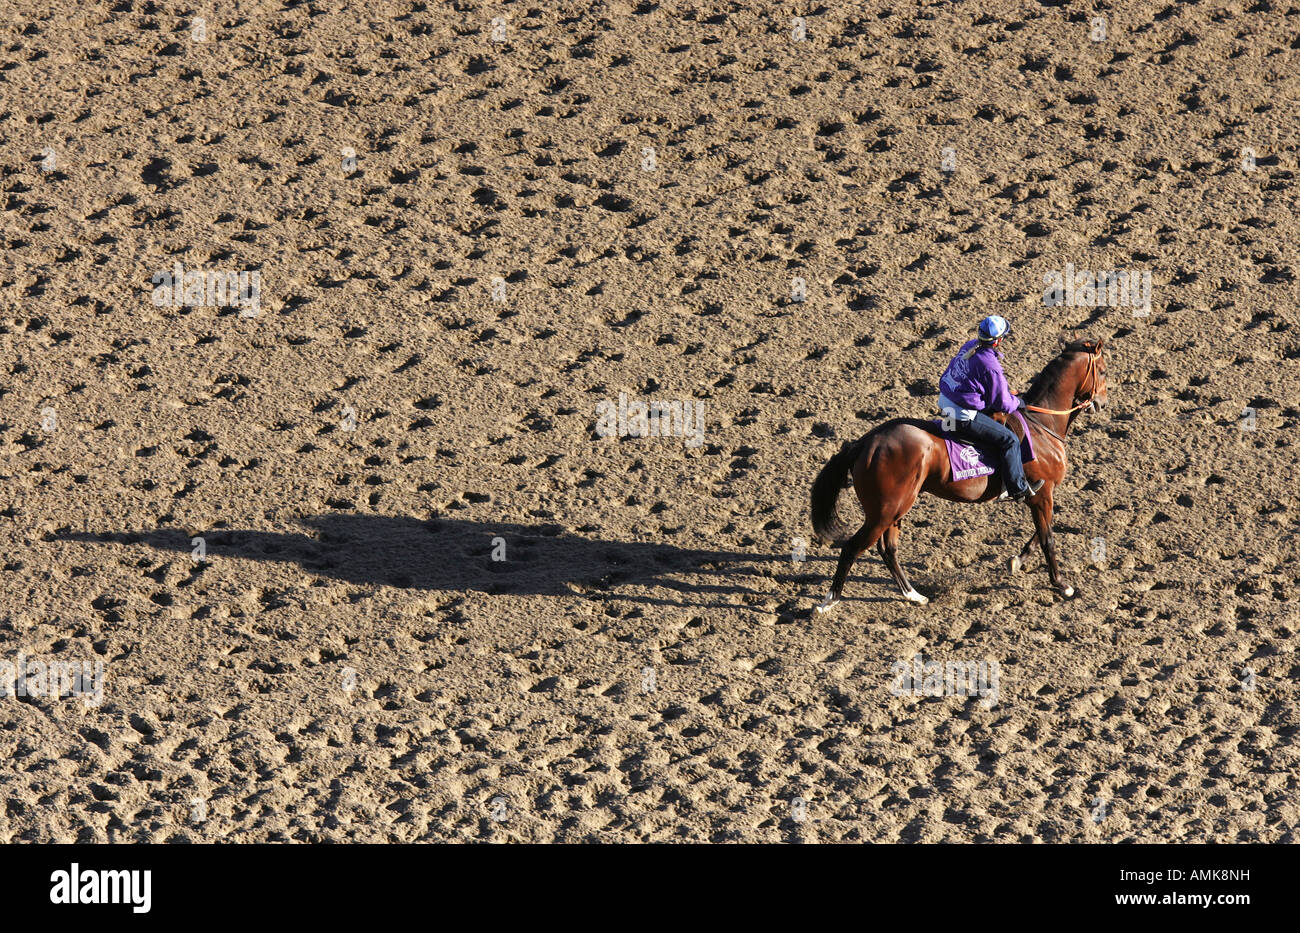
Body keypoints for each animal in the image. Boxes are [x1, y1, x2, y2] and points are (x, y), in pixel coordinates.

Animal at [811, 337, 1107, 613]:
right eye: (1103, 371)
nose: (1102, 403)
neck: (1042, 426)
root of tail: (865, 443)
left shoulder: (1041, 495)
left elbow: (1039, 534)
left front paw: (1017, 561)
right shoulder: (1042, 494)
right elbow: (1047, 538)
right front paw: (1062, 584)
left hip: (894, 508)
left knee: (888, 549)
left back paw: (913, 595)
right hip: (885, 510)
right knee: (853, 547)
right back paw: (829, 601)